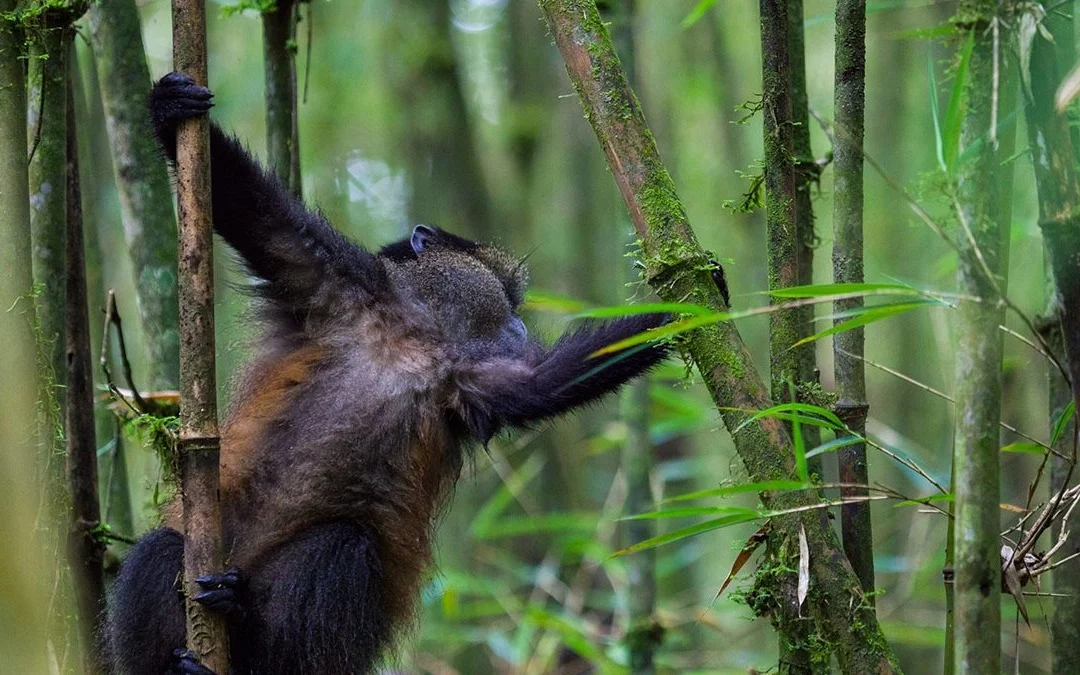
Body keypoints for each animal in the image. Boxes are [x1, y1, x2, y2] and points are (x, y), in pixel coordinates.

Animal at [103, 72, 671, 675]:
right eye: (507, 294)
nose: (519, 324)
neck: (415, 338)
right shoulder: (338, 281)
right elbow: (258, 215)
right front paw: (170, 108)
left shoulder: (466, 376)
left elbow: (541, 385)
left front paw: (689, 300)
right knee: (161, 549)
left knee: (341, 546)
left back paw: (241, 617)